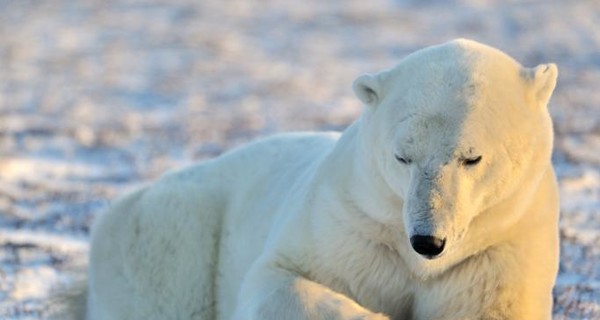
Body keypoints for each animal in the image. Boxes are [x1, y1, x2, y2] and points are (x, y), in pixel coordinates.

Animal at [83, 40, 556, 320]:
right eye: (402, 156)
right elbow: (279, 278)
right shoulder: (348, 224)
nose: (427, 240)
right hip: (170, 236)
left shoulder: (500, 250)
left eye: (472, 157)